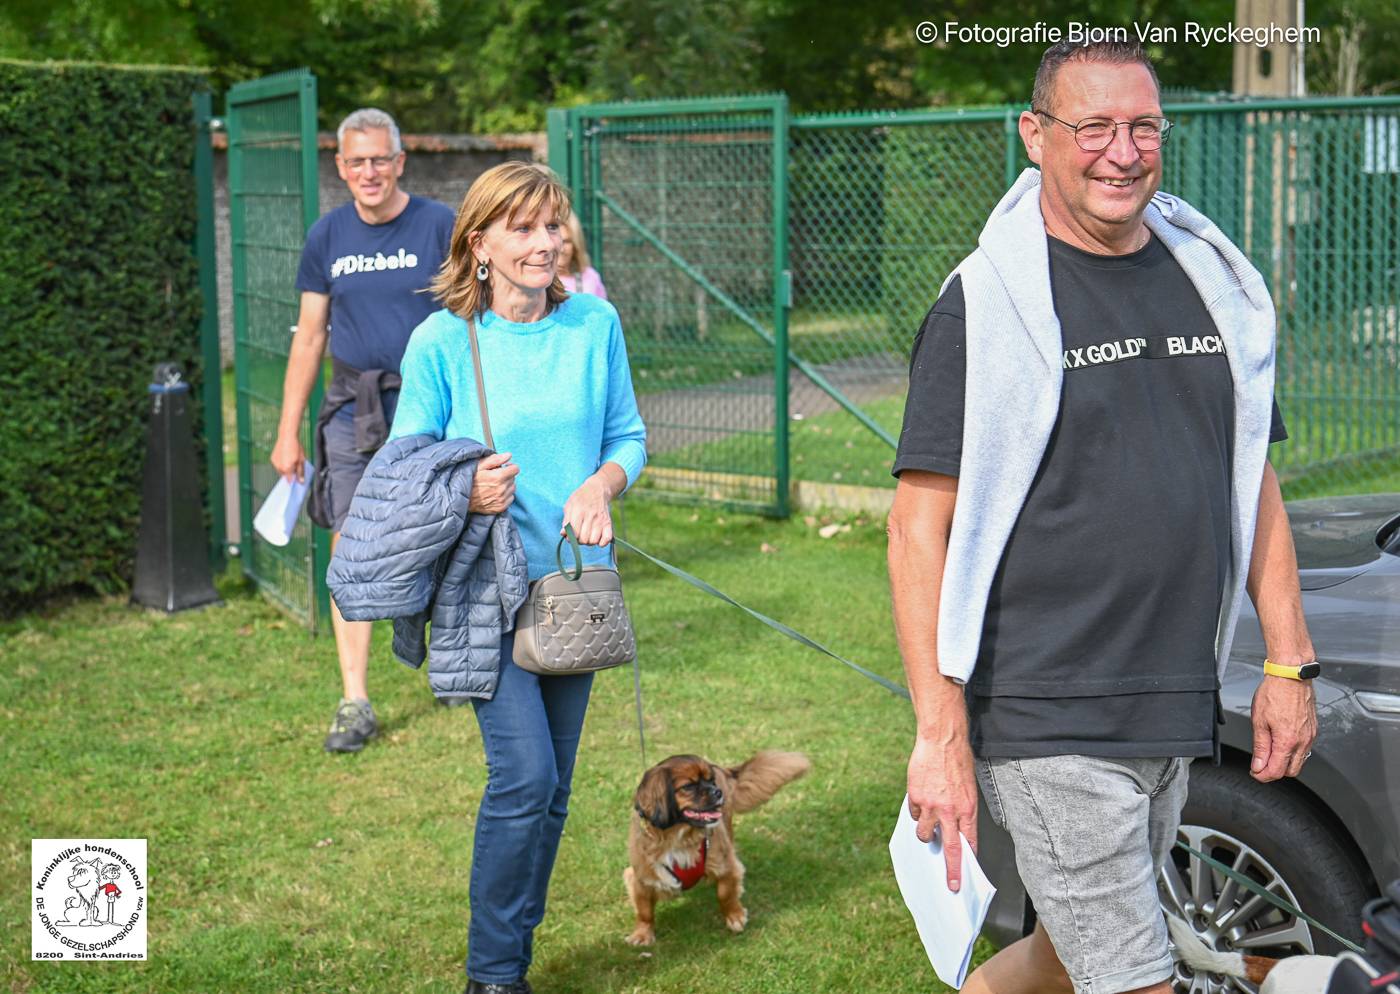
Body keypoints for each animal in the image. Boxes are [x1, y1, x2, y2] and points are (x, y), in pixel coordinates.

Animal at [624, 750, 812, 946]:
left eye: (710, 781)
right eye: (688, 786)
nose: (717, 791)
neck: (679, 838)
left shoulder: (726, 865)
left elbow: (725, 893)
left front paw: (735, 916)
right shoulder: (640, 878)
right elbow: (644, 911)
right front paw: (642, 934)